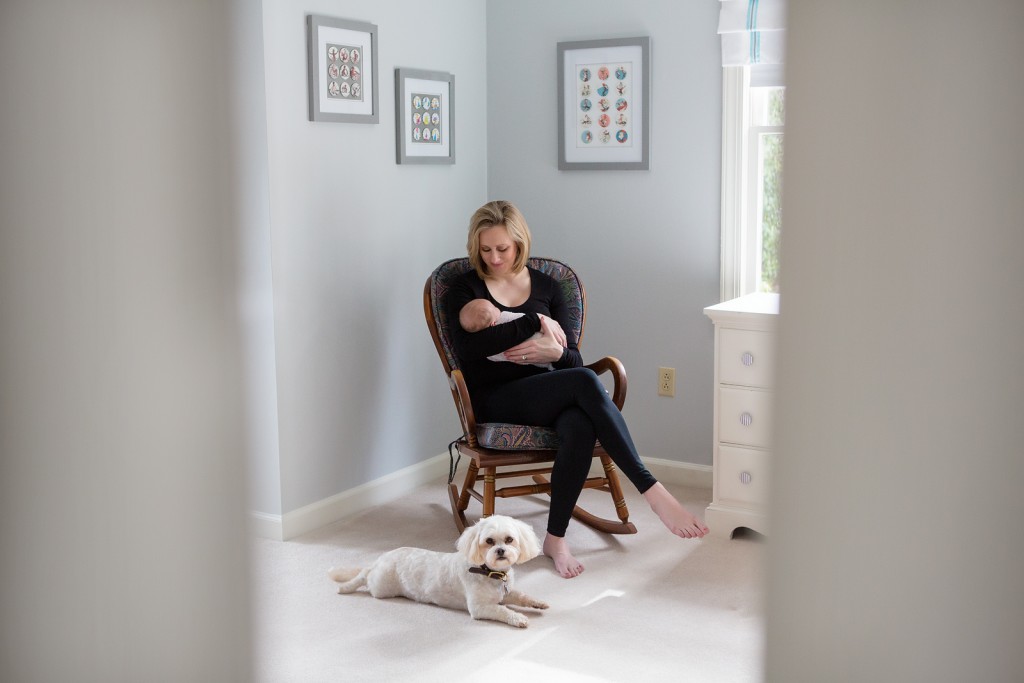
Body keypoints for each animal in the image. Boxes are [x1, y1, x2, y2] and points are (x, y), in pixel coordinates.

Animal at [331, 516, 548, 626]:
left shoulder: (505, 593)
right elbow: (502, 610)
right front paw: (518, 617)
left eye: (510, 539)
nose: (501, 551)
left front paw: (537, 603)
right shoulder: (480, 608)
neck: (488, 572)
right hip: (380, 587)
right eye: (489, 541)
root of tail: (379, 560)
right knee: (365, 577)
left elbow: (520, 595)